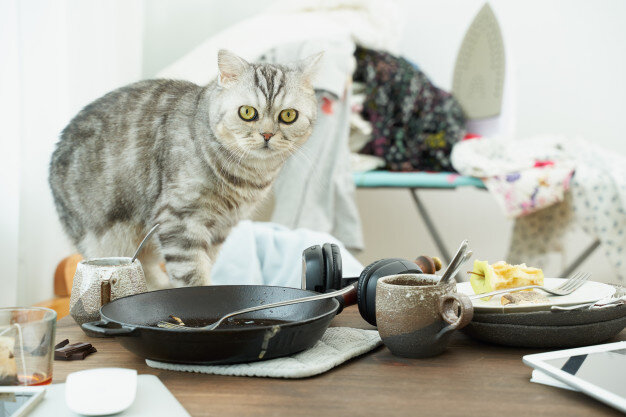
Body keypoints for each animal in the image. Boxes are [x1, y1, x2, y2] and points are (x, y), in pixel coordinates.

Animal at [49, 50, 320, 288]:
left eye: (288, 115)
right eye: (247, 112)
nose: (267, 134)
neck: (247, 175)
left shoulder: (220, 229)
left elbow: (204, 265)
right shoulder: (179, 219)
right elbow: (192, 273)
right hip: (106, 240)